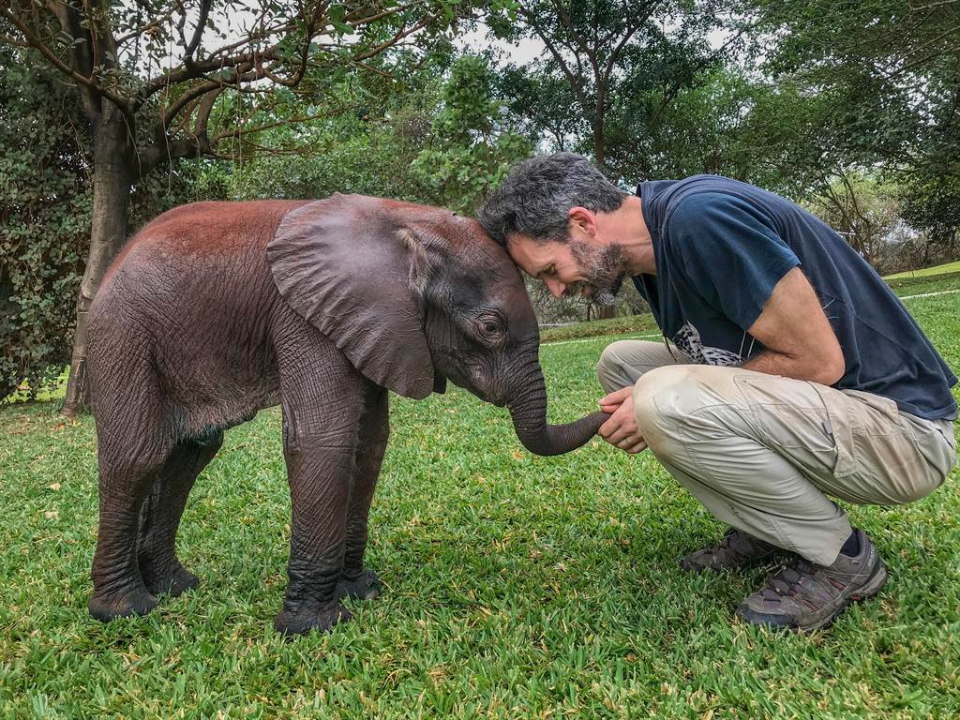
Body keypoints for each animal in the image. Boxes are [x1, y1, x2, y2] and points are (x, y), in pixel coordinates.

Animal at [86, 194, 604, 632]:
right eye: (491, 327)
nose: (606, 408)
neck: (406, 223)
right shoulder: (304, 317)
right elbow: (323, 439)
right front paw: (313, 627)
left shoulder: (376, 326)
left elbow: (369, 443)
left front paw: (361, 591)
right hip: (123, 333)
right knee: (139, 456)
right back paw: (125, 610)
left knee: (190, 456)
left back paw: (175, 587)